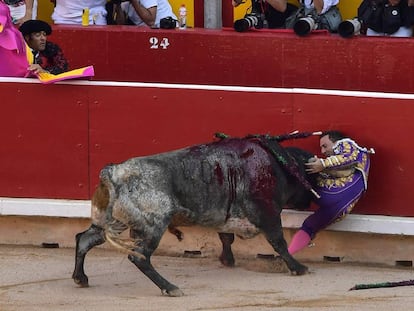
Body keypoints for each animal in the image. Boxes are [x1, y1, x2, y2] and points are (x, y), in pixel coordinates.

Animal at [72, 134, 316, 298]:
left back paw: (80, 278)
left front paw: (228, 260)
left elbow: (226, 237)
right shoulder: (268, 213)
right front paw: (298, 268)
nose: (308, 203)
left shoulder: (225, 215)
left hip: (112, 221)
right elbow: (278, 241)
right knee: (139, 256)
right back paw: (170, 288)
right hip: (153, 225)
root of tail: (113, 172)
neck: (279, 165)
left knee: (84, 239)